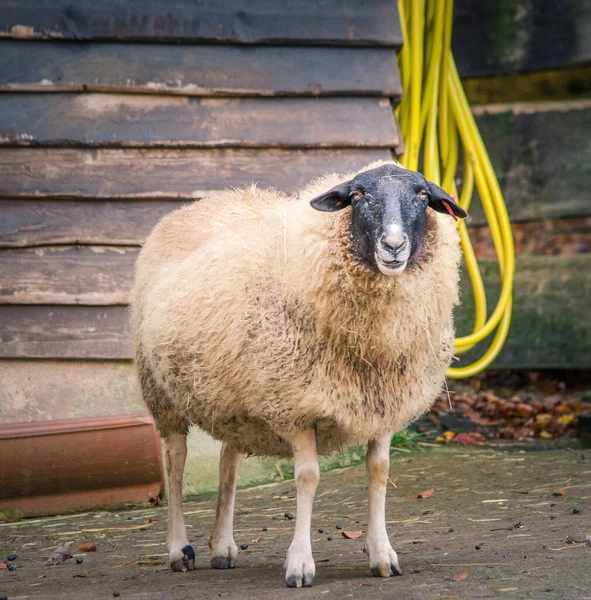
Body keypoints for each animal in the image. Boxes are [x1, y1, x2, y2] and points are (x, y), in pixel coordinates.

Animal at [132, 158, 470, 584]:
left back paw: (222, 546)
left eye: (423, 194)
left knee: (228, 463)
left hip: (235, 394)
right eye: (358, 195)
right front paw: (300, 563)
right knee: (175, 463)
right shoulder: (295, 405)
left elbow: (379, 471)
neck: (371, 346)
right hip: (163, 393)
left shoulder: (383, 405)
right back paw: (180, 549)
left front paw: (382, 554)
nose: (393, 246)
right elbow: (307, 477)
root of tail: (196, 206)